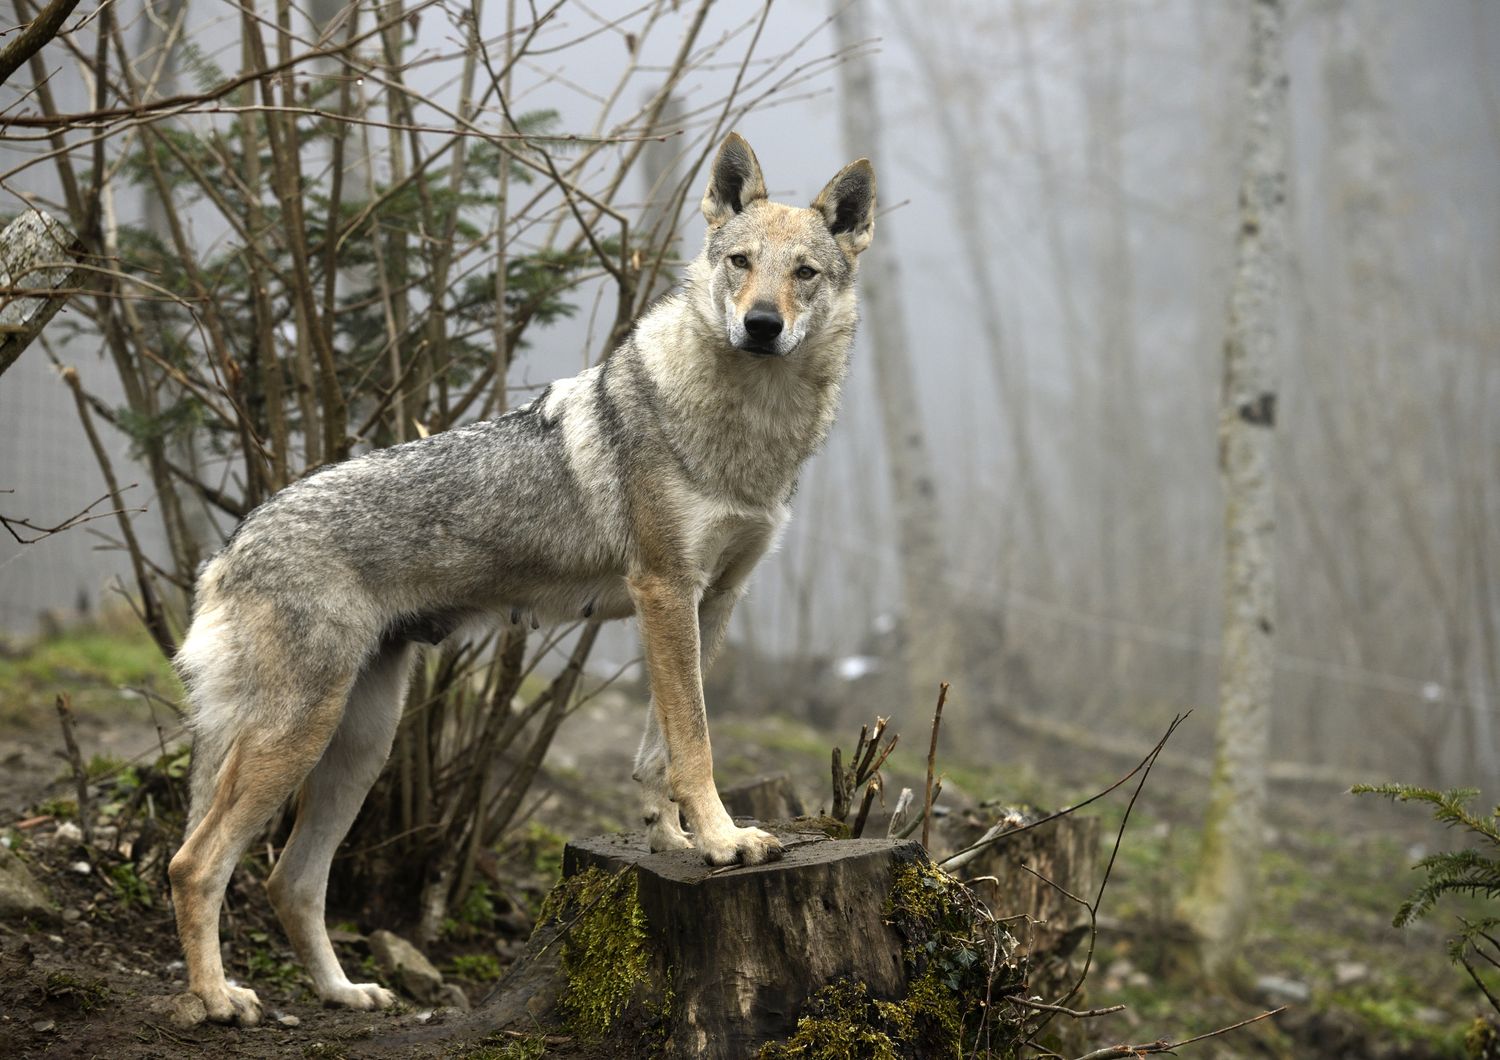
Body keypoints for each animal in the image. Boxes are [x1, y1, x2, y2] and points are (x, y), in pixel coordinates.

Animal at [168, 132, 876, 1019]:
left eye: (804, 272)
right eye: (740, 262)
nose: (761, 323)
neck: (748, 427)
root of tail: (229, 547)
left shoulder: (712, 602)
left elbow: (660, 749)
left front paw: (674, 839)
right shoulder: (664, 591)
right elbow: (696, 742)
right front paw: (722, 841)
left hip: (360, 743)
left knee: (288, 881)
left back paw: (346, 993)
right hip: (298, 735)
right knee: (196, 865)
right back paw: (219, 1000)